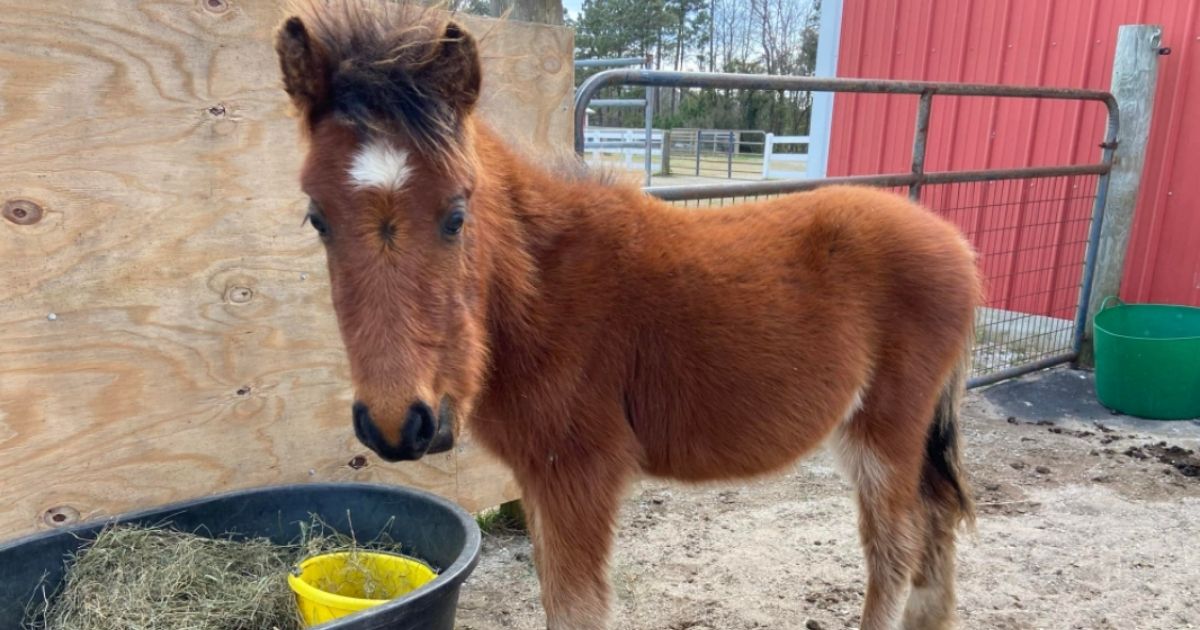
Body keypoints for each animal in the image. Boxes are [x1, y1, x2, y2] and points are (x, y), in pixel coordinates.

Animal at [274, 2, 979, 628]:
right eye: (317, 218)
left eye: (456, 214)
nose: (399, 425)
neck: (540, 290)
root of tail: (956, 244)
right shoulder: (540, 478)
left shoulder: (576, 473)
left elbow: (576, 611)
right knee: (936, 523)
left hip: (884, 435)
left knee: (894, 552)